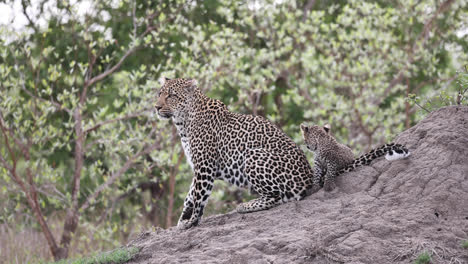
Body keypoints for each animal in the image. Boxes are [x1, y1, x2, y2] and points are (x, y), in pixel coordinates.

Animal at [156, 77, 314, 229]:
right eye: (160, 94)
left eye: (171, 96)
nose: (157, 107)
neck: (183, 122)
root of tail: (310, 178)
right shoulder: (199, 167)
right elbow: (190, 195)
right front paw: (183, 220)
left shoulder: (204, 166)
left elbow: (199, 195)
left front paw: (192, 221)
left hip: (252, 156)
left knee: (277, 196)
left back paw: (245, 206)